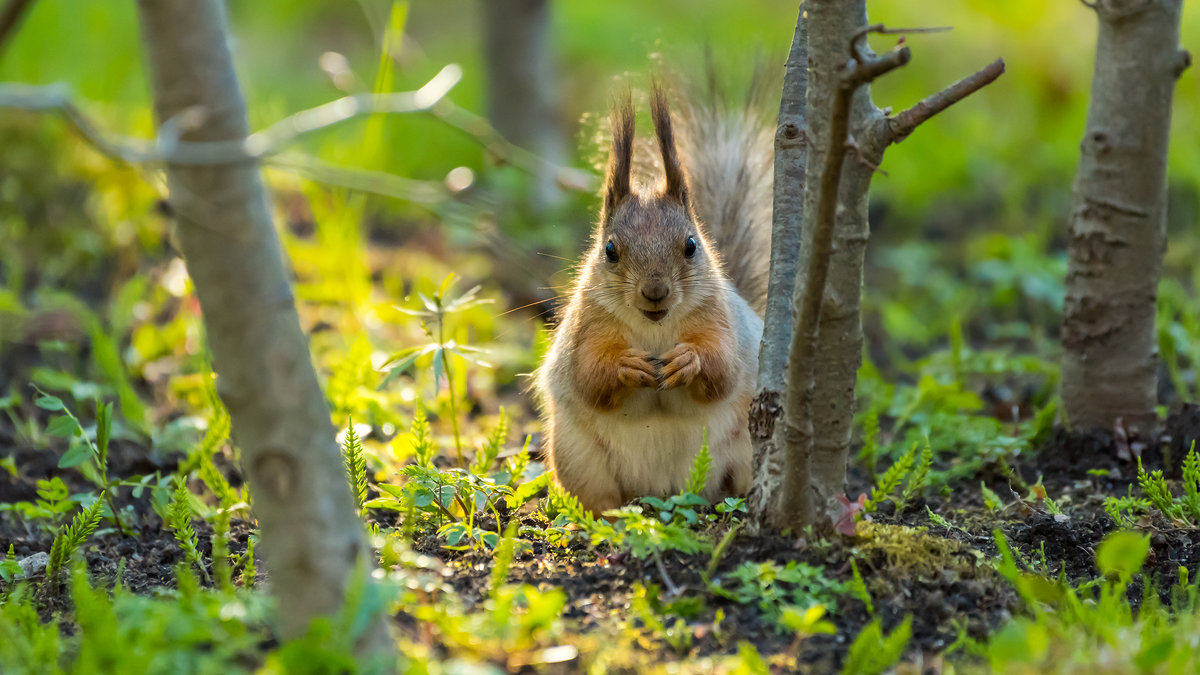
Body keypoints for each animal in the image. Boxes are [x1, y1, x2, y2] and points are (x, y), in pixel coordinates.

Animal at [532, 79, 768, 509]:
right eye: (610, 250)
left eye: (691, 245)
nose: (655, 291)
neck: (655, 327)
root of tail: (661, 490)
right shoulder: (588, 325)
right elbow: (588, 376)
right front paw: (626, 366)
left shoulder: (718, 317)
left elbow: (722, 369)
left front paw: (689, 361)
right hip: (578, 458)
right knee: (598, 498)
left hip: (746, 449)